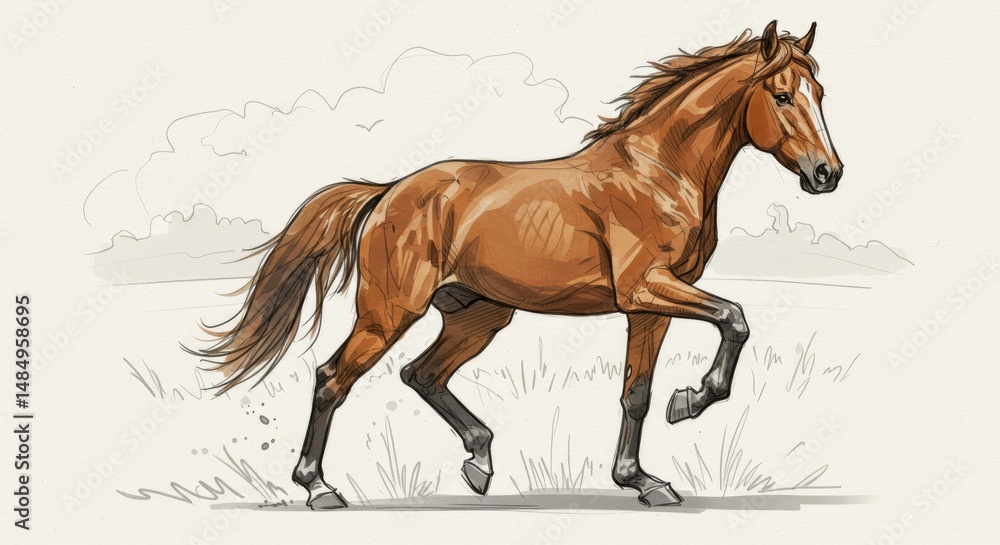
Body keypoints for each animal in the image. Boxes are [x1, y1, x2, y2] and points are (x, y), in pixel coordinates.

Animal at [194, 20, 843, 509]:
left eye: (819, 93)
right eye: (782, 96)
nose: (827, 174)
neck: (658, 171)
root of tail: (387, 193)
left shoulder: (650, 307)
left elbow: (636, 392)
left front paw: (642, 480)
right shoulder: (646, 289)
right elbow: (735, 317)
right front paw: (693, 401)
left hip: (479, 315)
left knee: (422, 374)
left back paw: (479, 461)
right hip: (390, 311)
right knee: (334, 377)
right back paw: (319, 489)